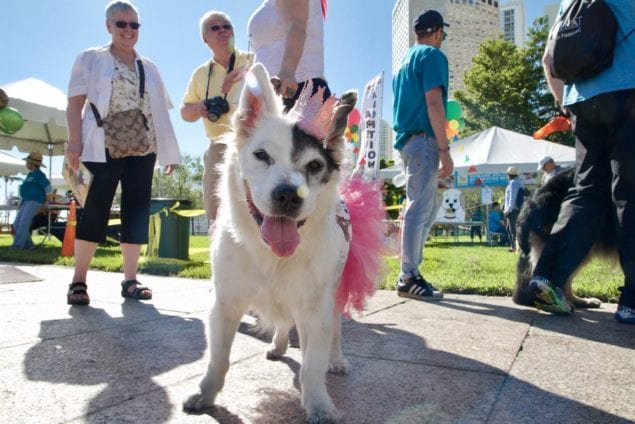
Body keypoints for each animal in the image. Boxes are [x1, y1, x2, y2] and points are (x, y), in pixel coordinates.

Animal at [183, 64, 382, 422]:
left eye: (315, 166)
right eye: (261, 156)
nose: (289, 195)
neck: (270, 254)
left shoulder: (315, 310)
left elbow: (312, 366)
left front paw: (318, 403)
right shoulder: (224, 305)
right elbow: (218, 358)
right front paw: (206, 394)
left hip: (334, 293)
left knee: (335, 332)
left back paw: (336, 360)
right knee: (282, 324)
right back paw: (277, 346)